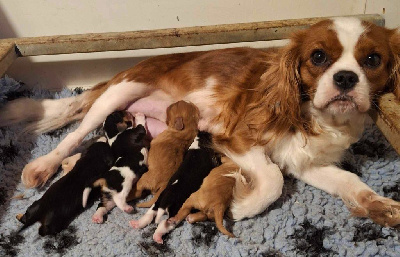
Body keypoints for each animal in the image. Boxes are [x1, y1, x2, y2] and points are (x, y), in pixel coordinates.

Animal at [0, 16, 400, 224]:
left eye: (373, 60)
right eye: (318, 57)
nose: (345, 79)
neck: (313, 115)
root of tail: (123, 69)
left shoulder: (304, 161)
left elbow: (348, 182)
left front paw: (379, 205)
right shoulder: (236, 139)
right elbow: (272, 181)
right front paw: (238, 203)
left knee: (90, 146)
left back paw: (70, 167)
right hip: (119, 93)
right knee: (74, 135)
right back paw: (43, 166)